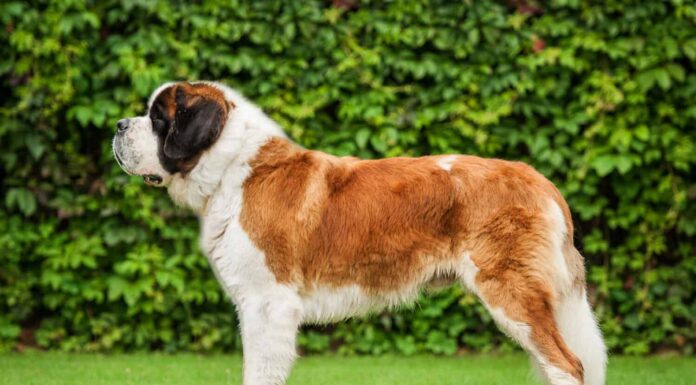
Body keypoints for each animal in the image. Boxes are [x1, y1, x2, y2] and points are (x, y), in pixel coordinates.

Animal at [113, 82, 604, 384]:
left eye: (158, 118)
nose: (118, 125)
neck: (232, 167)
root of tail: (537, 178)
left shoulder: (267, 304)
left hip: (512, 293)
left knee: (568, 365)